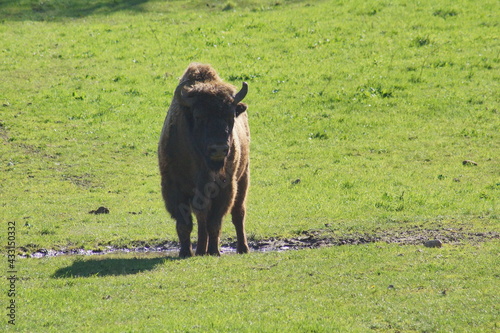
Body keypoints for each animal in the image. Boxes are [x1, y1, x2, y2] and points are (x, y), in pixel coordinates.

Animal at [159, 64, 250, 256]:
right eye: (199, 116)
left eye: (230, 116)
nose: (219, 149)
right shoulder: (173, 187)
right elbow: (185, 224)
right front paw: (186, 252)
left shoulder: (226, 188)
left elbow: (214, 222)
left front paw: (214, 251)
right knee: (202, 217)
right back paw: (201, 250)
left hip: (244, 176)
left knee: (238, 213)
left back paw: (242, 248)